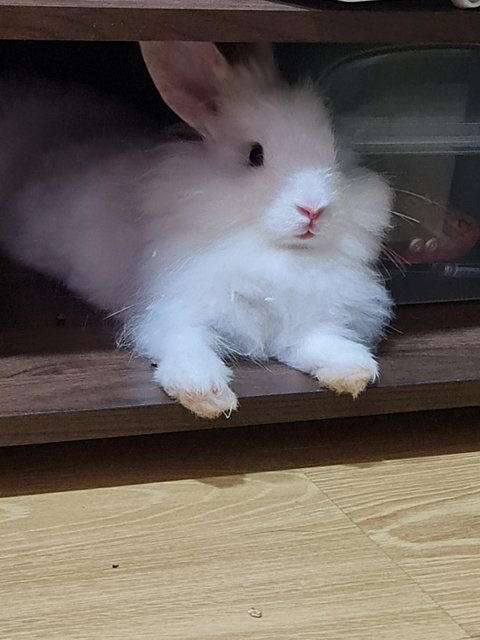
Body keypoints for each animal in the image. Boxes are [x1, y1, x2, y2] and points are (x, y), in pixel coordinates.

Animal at [0, 42, 392, 418]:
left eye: (336, 153)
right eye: (255, 155)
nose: (313, 209)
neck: (274, 255)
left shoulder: (307, 321)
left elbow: (319, 342)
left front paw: (355, 372)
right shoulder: (173, 312)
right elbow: (186, 344)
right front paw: (205, 395)